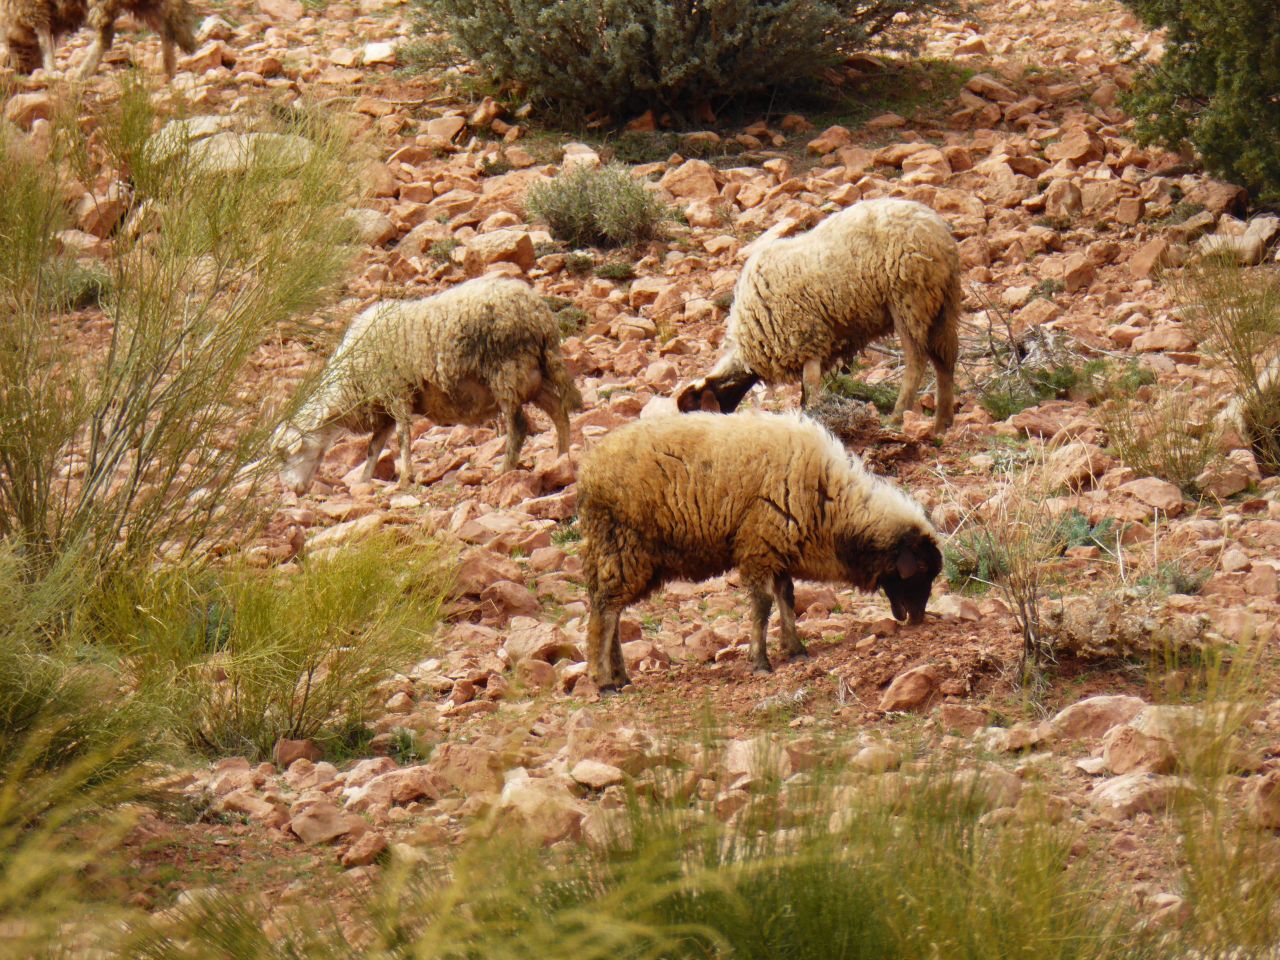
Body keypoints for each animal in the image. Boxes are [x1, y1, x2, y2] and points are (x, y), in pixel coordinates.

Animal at [0, 0, 195, 77]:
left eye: (12, 47)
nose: (21, 70)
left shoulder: (32, 7)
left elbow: (43, 37)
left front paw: (50, 68)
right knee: (166, 26)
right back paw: (169, 68)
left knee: (104, 37)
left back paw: (83, 72)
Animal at [275, 277, 583, 495]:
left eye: (285, 456)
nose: (292, 490)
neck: (348, 383)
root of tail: (540, 314)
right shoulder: (383, 407)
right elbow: (374, 447)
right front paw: (364, 480)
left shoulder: (396, 393)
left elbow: (402, 438)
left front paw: (404, 478)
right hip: (533, 375)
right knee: (558, 411)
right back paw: (561, 458)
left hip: (506, 371)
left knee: (519, 426)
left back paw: (505, 469)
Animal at [577, 411, 942, 691]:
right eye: (921, 570)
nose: (919, 619)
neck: (833, 504)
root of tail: (588, 471)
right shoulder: (759, 547)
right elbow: (763, 606)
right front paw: (761, 660)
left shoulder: (778, 551)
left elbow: (787, 598)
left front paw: (795, 648)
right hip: (623, 545)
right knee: (605, 611)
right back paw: (603, 680)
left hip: (622, 553)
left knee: (611, 609)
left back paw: (620, 676)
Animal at [674, 198, 962, 432]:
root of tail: (938, 232)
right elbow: (805, 392)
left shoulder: (805, 339)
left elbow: (810, 389)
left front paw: (814, 417)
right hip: (943, 302)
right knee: (945, 358)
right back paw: (941, 423)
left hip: (908, 298)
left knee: (917, 360)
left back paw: (897, 417)